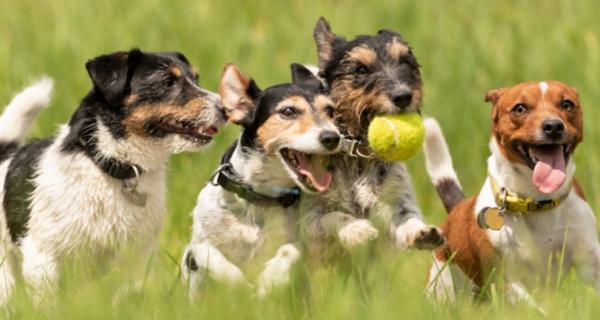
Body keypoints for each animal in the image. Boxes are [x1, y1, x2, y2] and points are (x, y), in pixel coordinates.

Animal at [0, 49, 225, 302]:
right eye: (167, 81)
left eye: (196, 79)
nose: (226, 109)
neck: (114, 170)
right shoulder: (42, 254)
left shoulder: (136, 257)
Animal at [183, 63, 340, 298]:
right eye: (288, 112)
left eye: (330, 111)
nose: (333, 137)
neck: (260, 196)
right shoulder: (197, 248)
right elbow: (210, 255)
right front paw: (241, 286)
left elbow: (291, 250)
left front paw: (271, 277)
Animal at [300, 18, 446, 255]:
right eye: (361, 69)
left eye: (405, 62)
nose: (403, 96)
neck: (359, 157)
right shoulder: (309, 220)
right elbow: (334, 216)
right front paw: (356, 229)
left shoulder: (398, 202)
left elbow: (408, 219)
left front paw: (421, 232)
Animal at [424, 81, 596, 308]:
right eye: (519, 108)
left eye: (567, 104)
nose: (553, 126)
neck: (538, 200)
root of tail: (455, 210)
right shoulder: (505, 279)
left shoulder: (589, 258)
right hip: (443, 286)